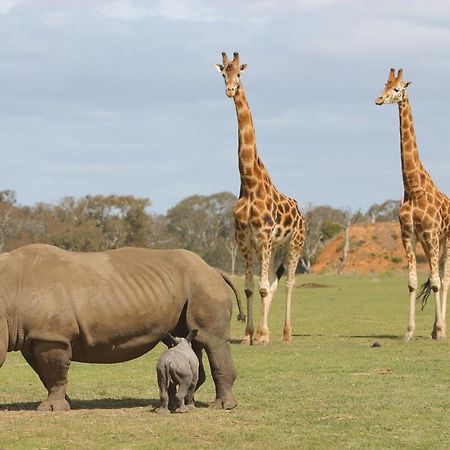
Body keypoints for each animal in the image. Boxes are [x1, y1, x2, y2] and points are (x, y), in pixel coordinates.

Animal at [214, 51, 306, 344]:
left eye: (239, 74)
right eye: (224, 73)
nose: (230, 90)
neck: (249, 182)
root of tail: (301, 213)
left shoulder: (263, 238)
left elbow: (264, 287)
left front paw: (263, 335)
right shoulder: (244, 240)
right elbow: (250, 287)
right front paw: (248, 335)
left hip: (295, 243)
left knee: (289, 282)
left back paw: (286, 333)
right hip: (275, 246)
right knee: (274, 281)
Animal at [376, 68, 450, 340]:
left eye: (397, 89)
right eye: (384, 84)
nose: (379, 99)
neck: (413, 188)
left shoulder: (429, 234)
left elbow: (437, 283)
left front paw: (439, 330)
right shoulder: (408, 236)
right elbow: (412, 282)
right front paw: (410, 332)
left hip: (445, 239)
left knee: (445, 279)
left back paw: (441, 329)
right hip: (435, 242)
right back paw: (434, 328)